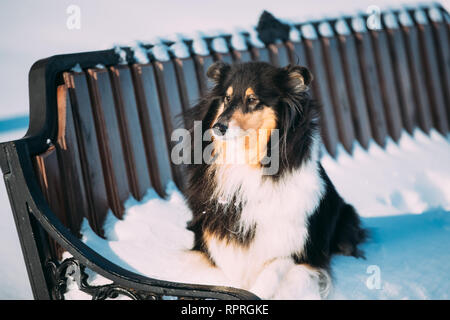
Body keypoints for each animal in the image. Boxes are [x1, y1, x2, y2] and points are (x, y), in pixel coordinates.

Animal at [182, 61, 366, 298]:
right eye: (227, 98)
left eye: (252, 99)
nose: (218, 128)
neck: (247, 165)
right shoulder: (209, 244)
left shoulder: (298, 251)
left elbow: (271, 272)